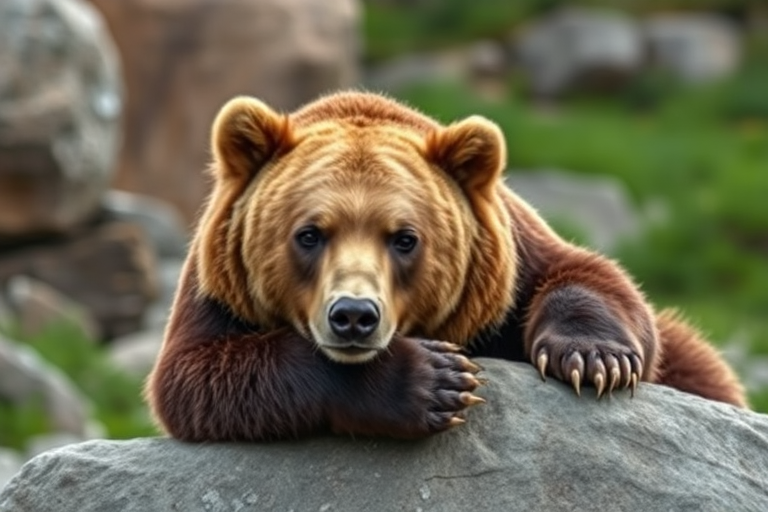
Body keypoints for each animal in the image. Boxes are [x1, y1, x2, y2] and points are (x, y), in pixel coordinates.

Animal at [146, 91, 747, 442]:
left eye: (405, 238)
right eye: (309, 234)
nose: (354, 315)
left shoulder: (509, 263)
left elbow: (588, 276)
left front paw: (593, 358)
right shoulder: (216, 291)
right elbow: (196, 376)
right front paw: (435, 380)